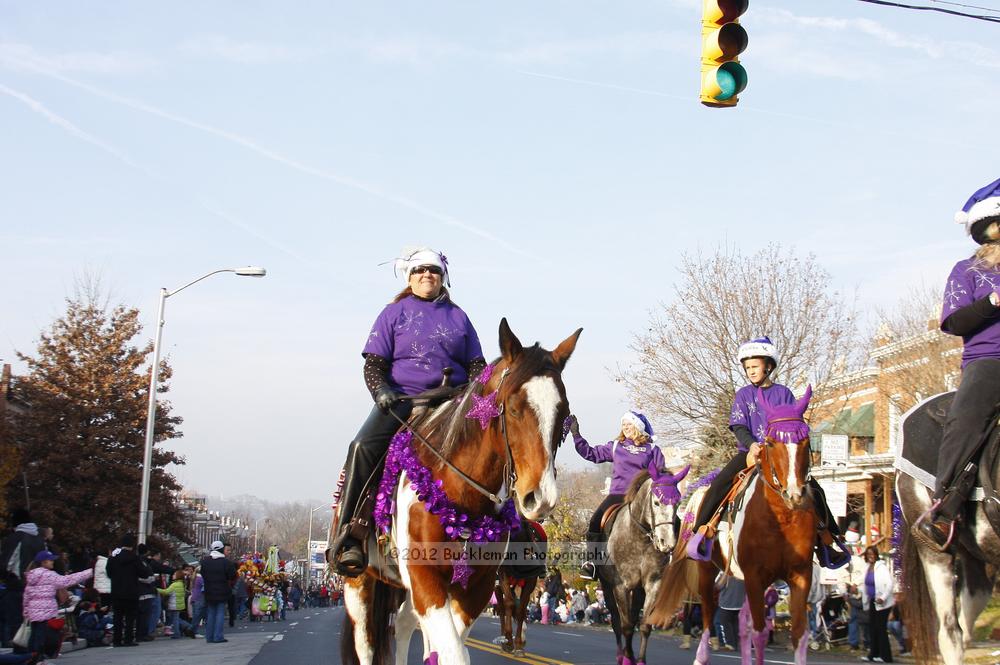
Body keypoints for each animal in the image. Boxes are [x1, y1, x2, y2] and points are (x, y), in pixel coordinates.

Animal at [340, 320, 584, 664]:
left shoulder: (476, 588)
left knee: (402, 623)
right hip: (359, 582)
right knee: (367, 640)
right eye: (513, 408)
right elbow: (454, 650)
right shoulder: (425, 577)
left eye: (563, 412)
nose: (541, 497)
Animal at [648, 386, 820, 664]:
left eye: (805, 440)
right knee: (709, 618)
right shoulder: (755, 576)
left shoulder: (800, 575)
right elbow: (759, 633)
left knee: (741, 623)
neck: (781, 517)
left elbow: (799, 635)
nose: (795, 494)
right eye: (770, 442)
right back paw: (701, 654)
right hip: (708, 573)